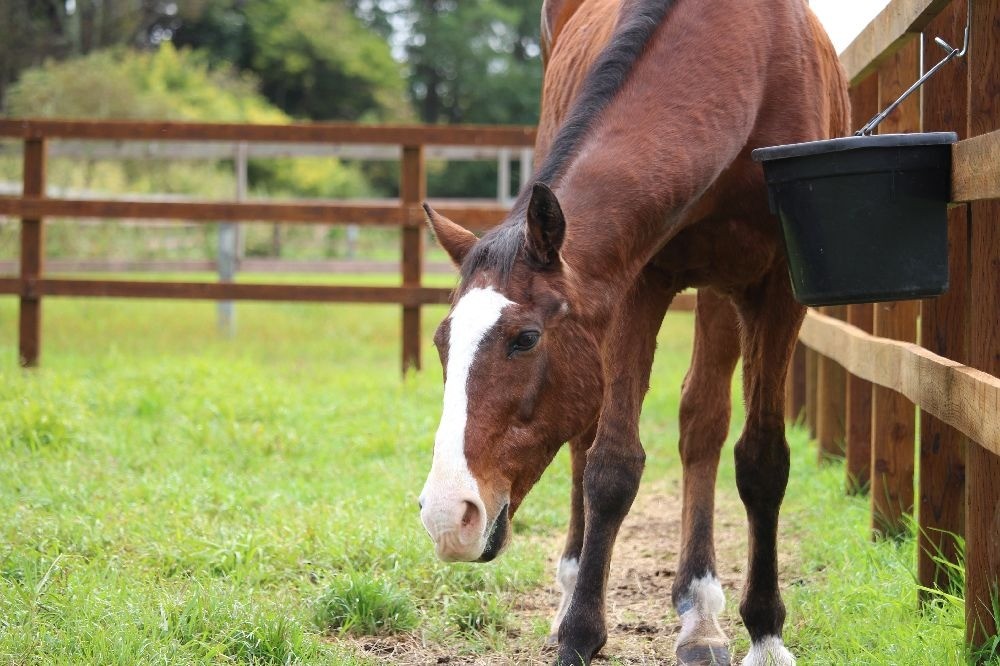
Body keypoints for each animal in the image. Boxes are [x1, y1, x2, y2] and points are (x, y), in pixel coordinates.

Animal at [417, 0, 849, 664]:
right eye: (443, 343)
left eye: (525, 339)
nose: (447, 516)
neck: (747, 55)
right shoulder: (636, 284)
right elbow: (611, 465)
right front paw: (580, 630)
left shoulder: (777, 289)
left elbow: (761, 460)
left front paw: (766, 632)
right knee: (587, 442)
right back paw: (577, 588)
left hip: (721, 291)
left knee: (703, 422)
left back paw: (701, 613)